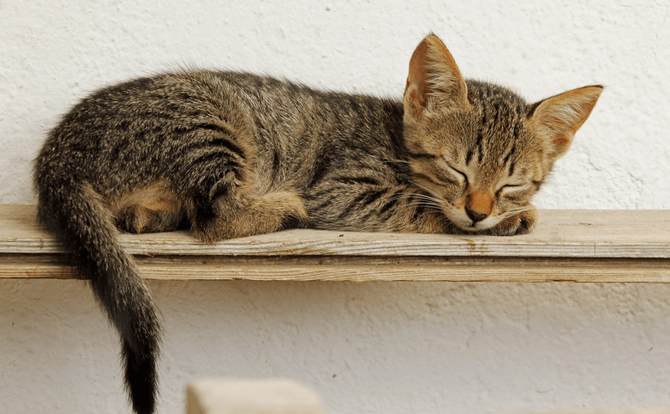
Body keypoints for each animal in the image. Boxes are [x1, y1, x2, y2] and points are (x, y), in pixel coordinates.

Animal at [34, 34, 608, 412]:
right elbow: (417, 208)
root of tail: (55, 155)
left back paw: (148, 214)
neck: (395, 140)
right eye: (456, 169)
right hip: (209, 121)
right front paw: (498, 222)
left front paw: (512, 216)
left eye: (512, 183)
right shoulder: (343, 189)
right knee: (215, 217)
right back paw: (282, 206)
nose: (480, 210)